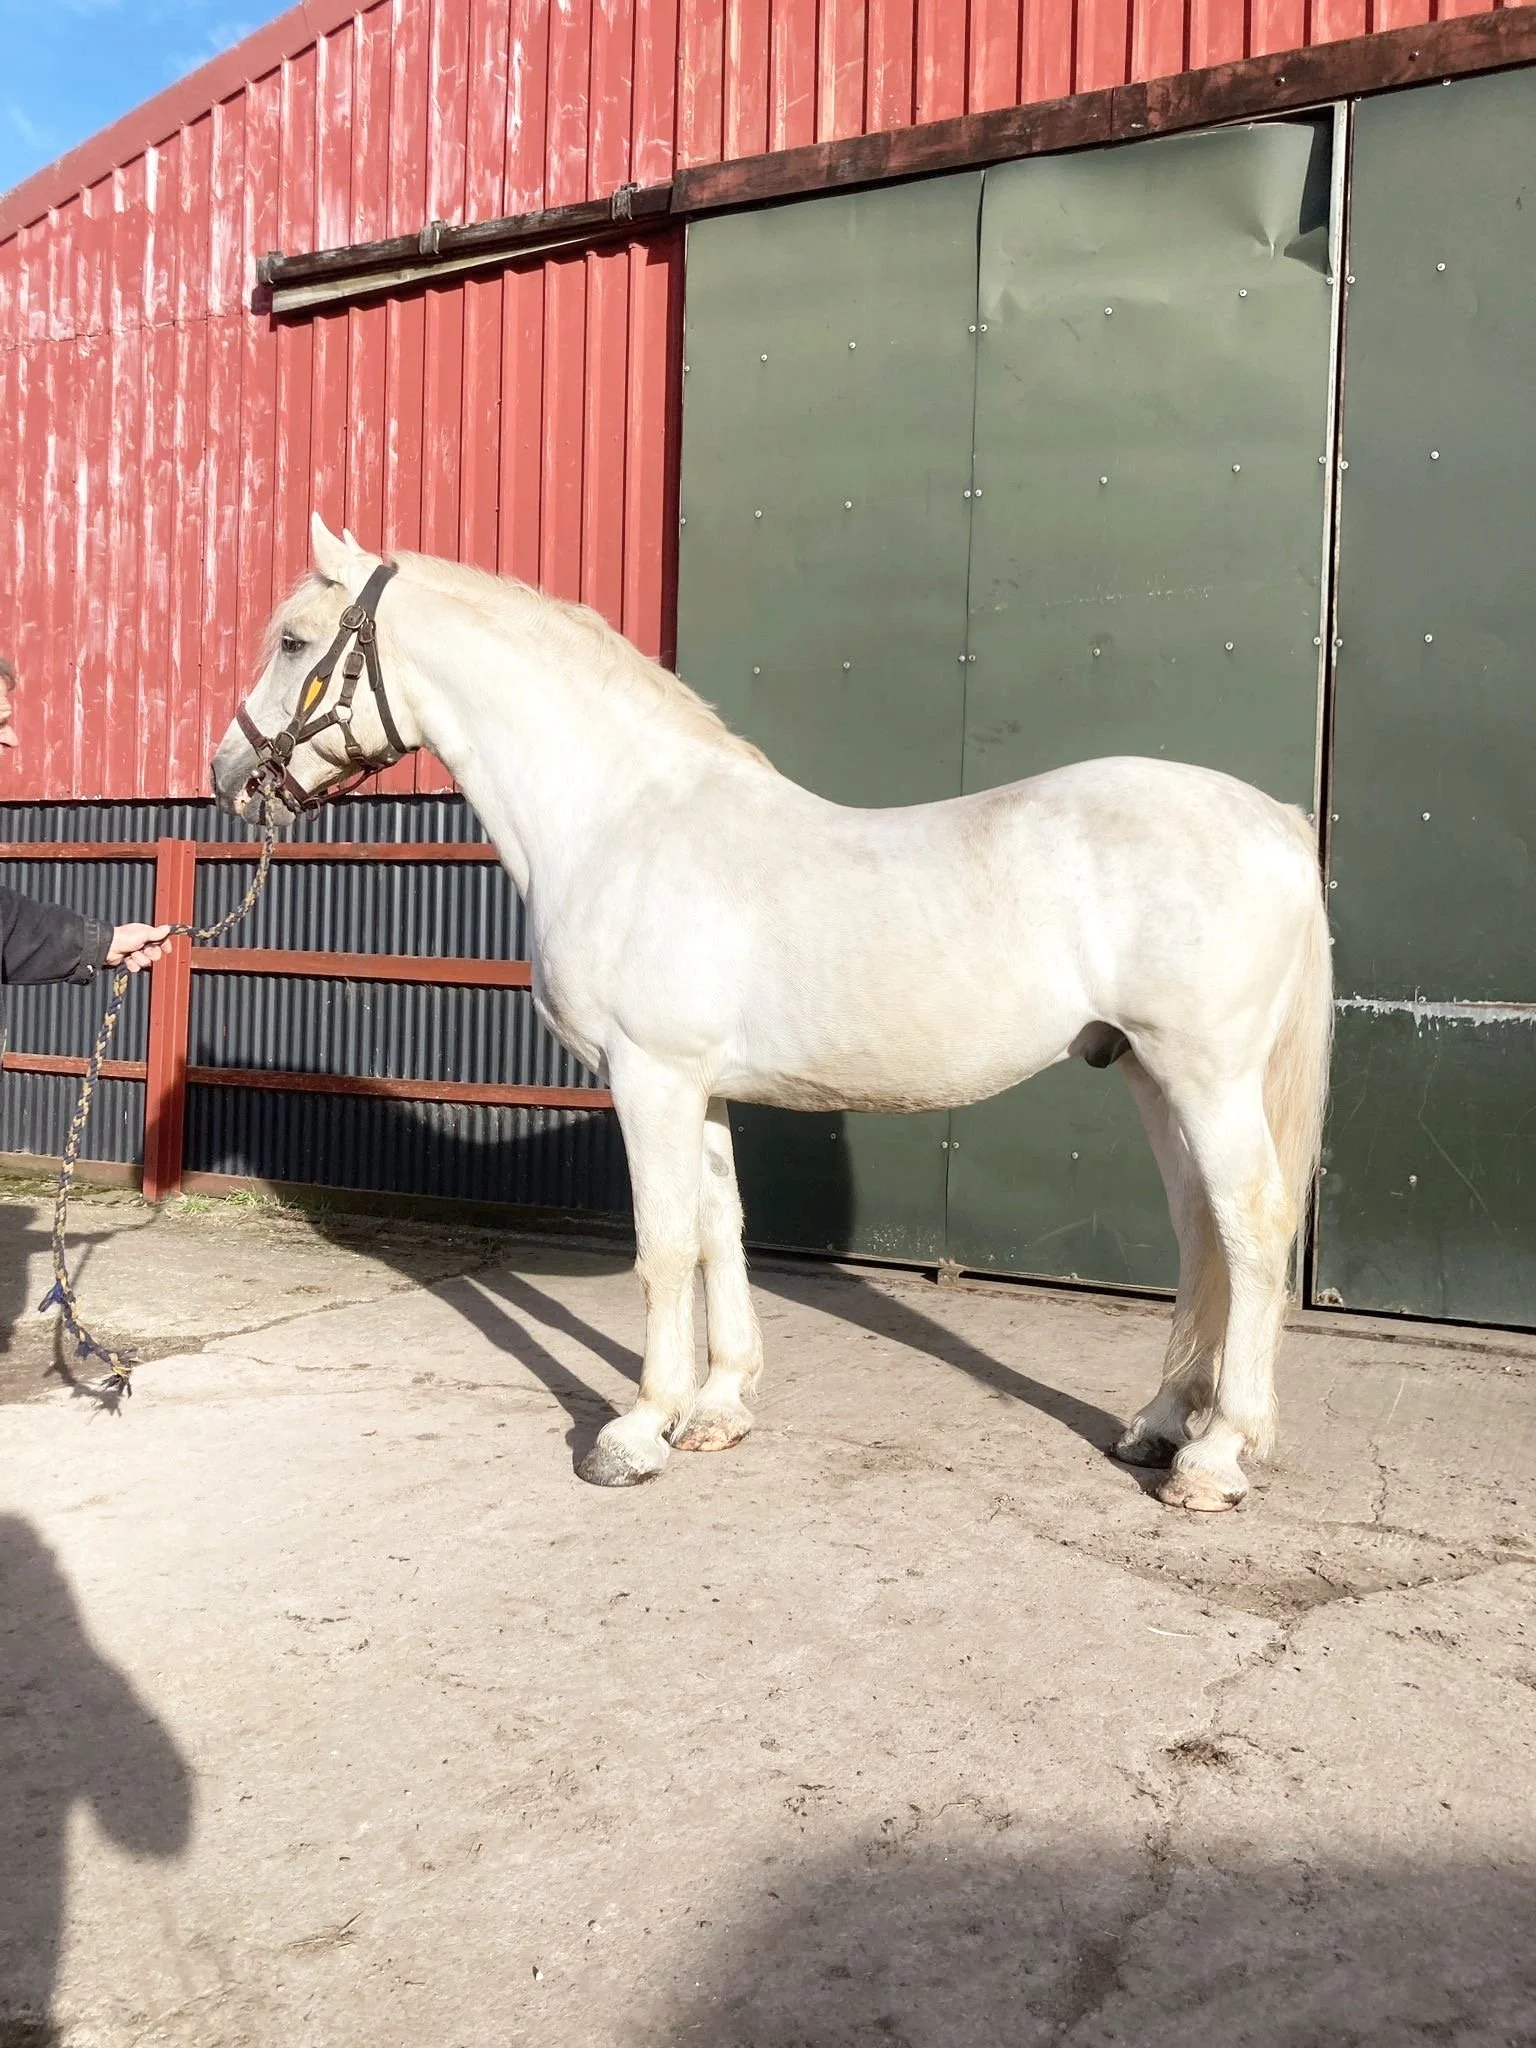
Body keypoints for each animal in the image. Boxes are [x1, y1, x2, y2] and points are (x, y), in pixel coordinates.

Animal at [212, 516, 1333, 1514]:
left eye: (295, 641)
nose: (227, 775)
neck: (623, 819)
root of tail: (1277, 820)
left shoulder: (649, 1075)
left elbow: (664, 1244)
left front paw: (636, 1431)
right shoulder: (695, 1085)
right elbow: (722, 1229)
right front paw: (717, 1406)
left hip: (1206, 1074)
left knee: (1250, 1224)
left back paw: (1216, 1458)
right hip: (1147, 1071)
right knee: (1199, 1229)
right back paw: (1159, 1424)